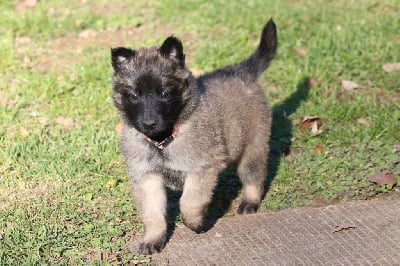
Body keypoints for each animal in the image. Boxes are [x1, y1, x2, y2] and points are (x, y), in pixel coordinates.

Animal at [111, 18, 276, 254]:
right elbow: (152, 214)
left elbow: (189, 201)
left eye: (164, 93)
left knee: (254, 176)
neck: (163, 141)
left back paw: (249, 203)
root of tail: (240, 71)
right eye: (134, 96)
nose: (149, 123)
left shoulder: (202, 169)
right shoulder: (146, 178)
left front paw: (195, 223)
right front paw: (153, 239)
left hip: (253, 146)